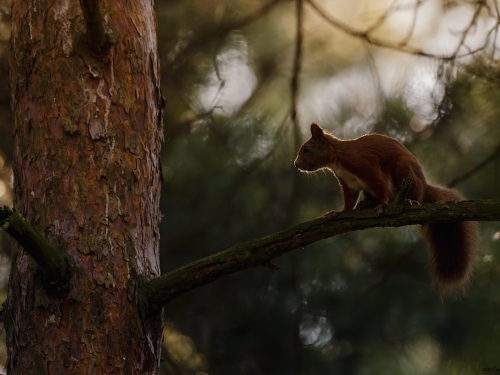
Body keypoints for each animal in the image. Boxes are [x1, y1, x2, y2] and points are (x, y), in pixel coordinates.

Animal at [294, 123, 478, 296]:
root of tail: (425, 185)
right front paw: (338, 212)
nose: (296, 164)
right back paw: (366, 203)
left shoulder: (365, 164)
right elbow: (349, 202)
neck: (337, 158)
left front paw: (382, 204)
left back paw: (410, 200)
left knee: (413, 192)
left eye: (306, 148)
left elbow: (378, 182)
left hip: (404, 169)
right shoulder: (348, 183)